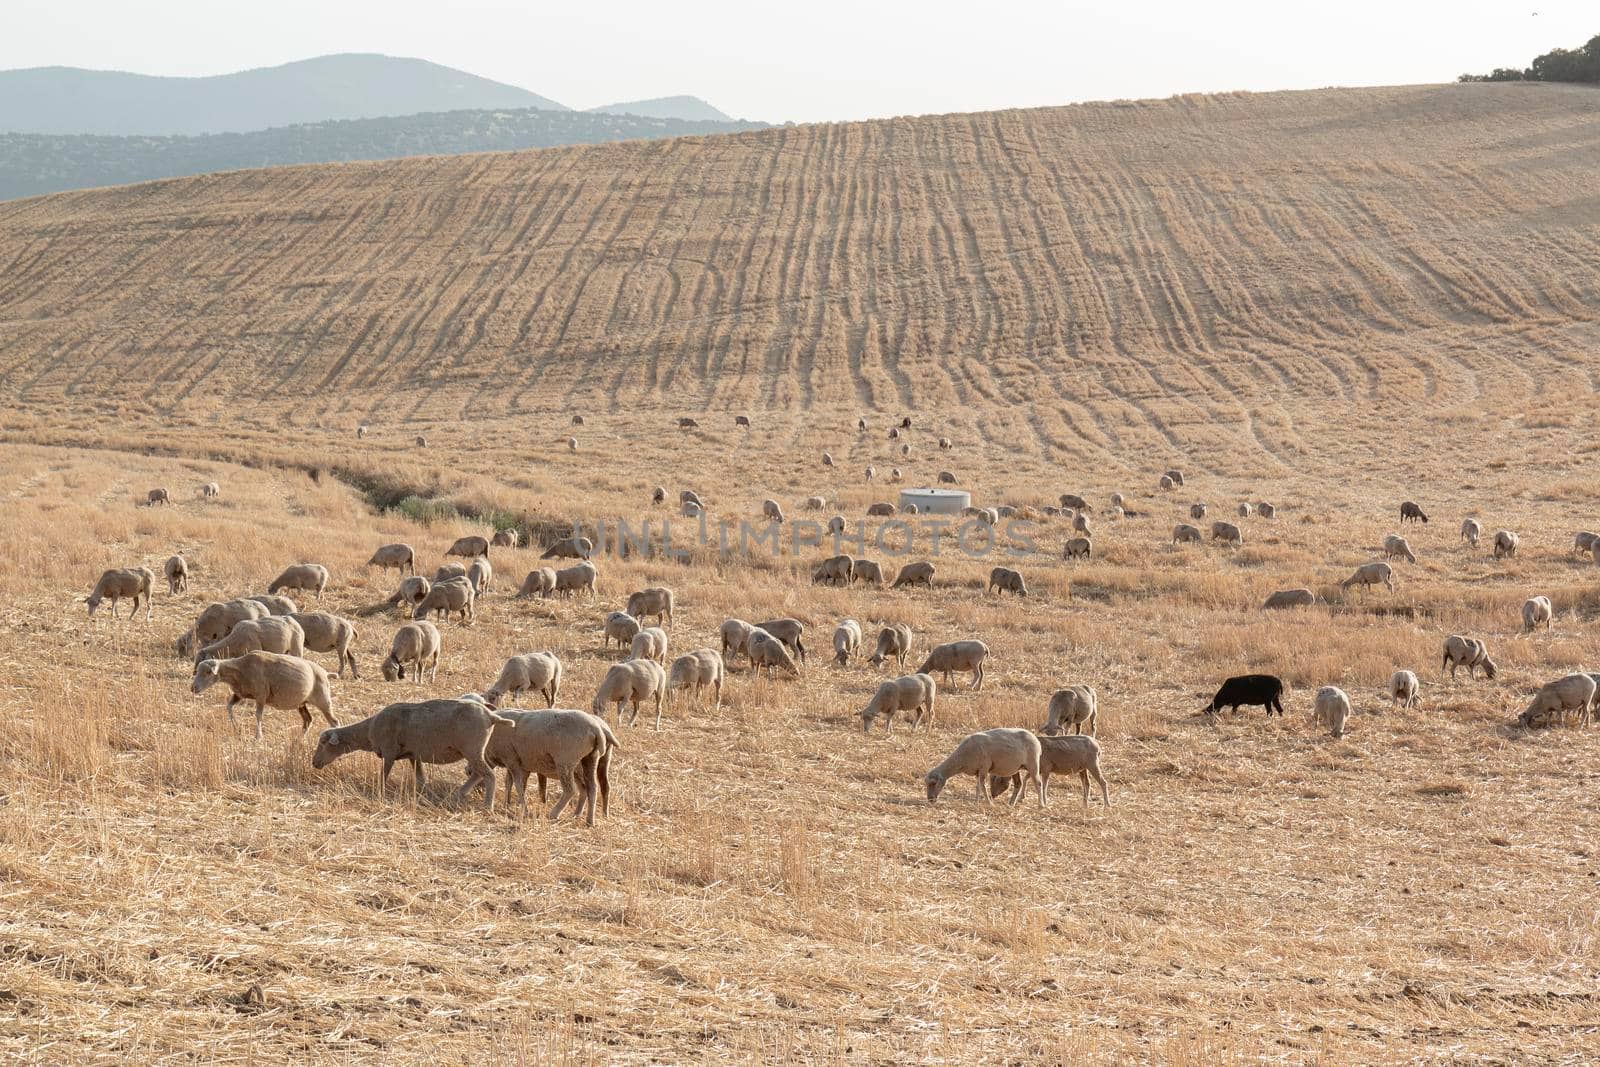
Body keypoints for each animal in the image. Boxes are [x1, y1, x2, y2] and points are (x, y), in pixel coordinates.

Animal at [194, 652, 337, 742]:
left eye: (208, 672)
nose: (193, 688)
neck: (241, 669)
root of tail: (325, 673)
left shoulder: (260, 696)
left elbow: (258, 715)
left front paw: (258, 737)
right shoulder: (239, 694)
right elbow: (228, 707)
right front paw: (238, 729)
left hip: (323, 700)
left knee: (334, 722)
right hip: (301, 703)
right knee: (308, 720)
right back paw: (299, 740)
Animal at [312, 697, 512, 812]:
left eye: (322, 743)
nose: (314, 763)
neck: (368, 731)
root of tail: (491, 716)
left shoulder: (389, 752)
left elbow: (383, 775)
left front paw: (379, 793)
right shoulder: (413, 755)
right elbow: (421, 779)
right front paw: (425, 796)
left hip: (472, 748)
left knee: (488, 775)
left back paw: (487, 807)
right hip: (474, 750)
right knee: (478, 774)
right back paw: (458, 795)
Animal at [483, 710, 614, 825]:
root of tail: (596, 729)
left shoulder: (511, 759)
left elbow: (518, 785)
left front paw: (522, 809)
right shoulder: (518, 764)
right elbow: (510, 782)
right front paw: (507, 804)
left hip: (565, 761)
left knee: (570, 790)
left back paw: (554, 814)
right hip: (590, 759)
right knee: (592, 788)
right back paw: (588, 820)